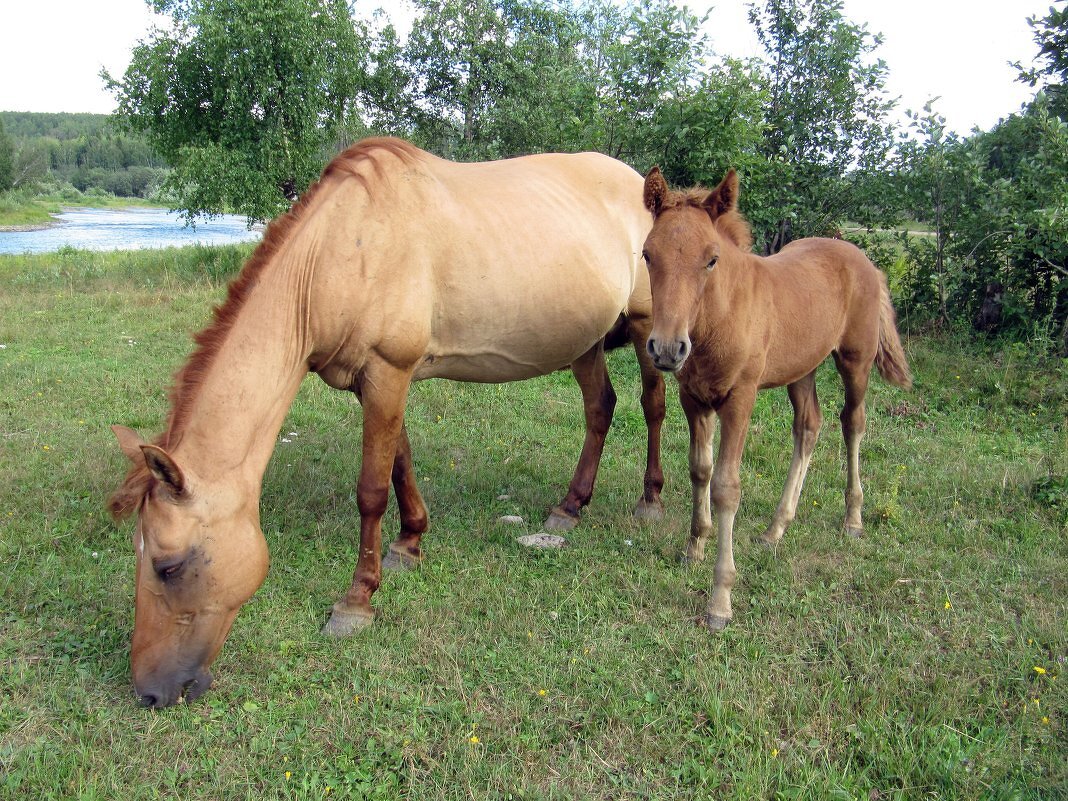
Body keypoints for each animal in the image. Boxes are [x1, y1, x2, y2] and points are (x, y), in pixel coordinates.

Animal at [106, 137, 657, 709]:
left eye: (168, 566)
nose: (149, 691)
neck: (334, 257)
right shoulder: (375, 382)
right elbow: (400, 464)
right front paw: (408, 545)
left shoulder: (388, 372)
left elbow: (371, 490)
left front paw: (356, 601)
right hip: (586, 343)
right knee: (600, 409)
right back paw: (570, 506)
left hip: (649, 331)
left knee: (653, 406)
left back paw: (650, 501)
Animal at [636, 167, 914, 632]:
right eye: (647, 255)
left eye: (711, 259)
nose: (668, 348)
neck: (719, 319)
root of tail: (865, 261)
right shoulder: (694, 398)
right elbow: (699, 471)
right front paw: (694, 548)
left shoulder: (740, 399)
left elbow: (726, 486)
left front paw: (720, 600)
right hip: (801, 370)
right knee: (809, 426)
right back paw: (775, 529)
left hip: (855, 361)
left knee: (852, 423)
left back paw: (853, 519)